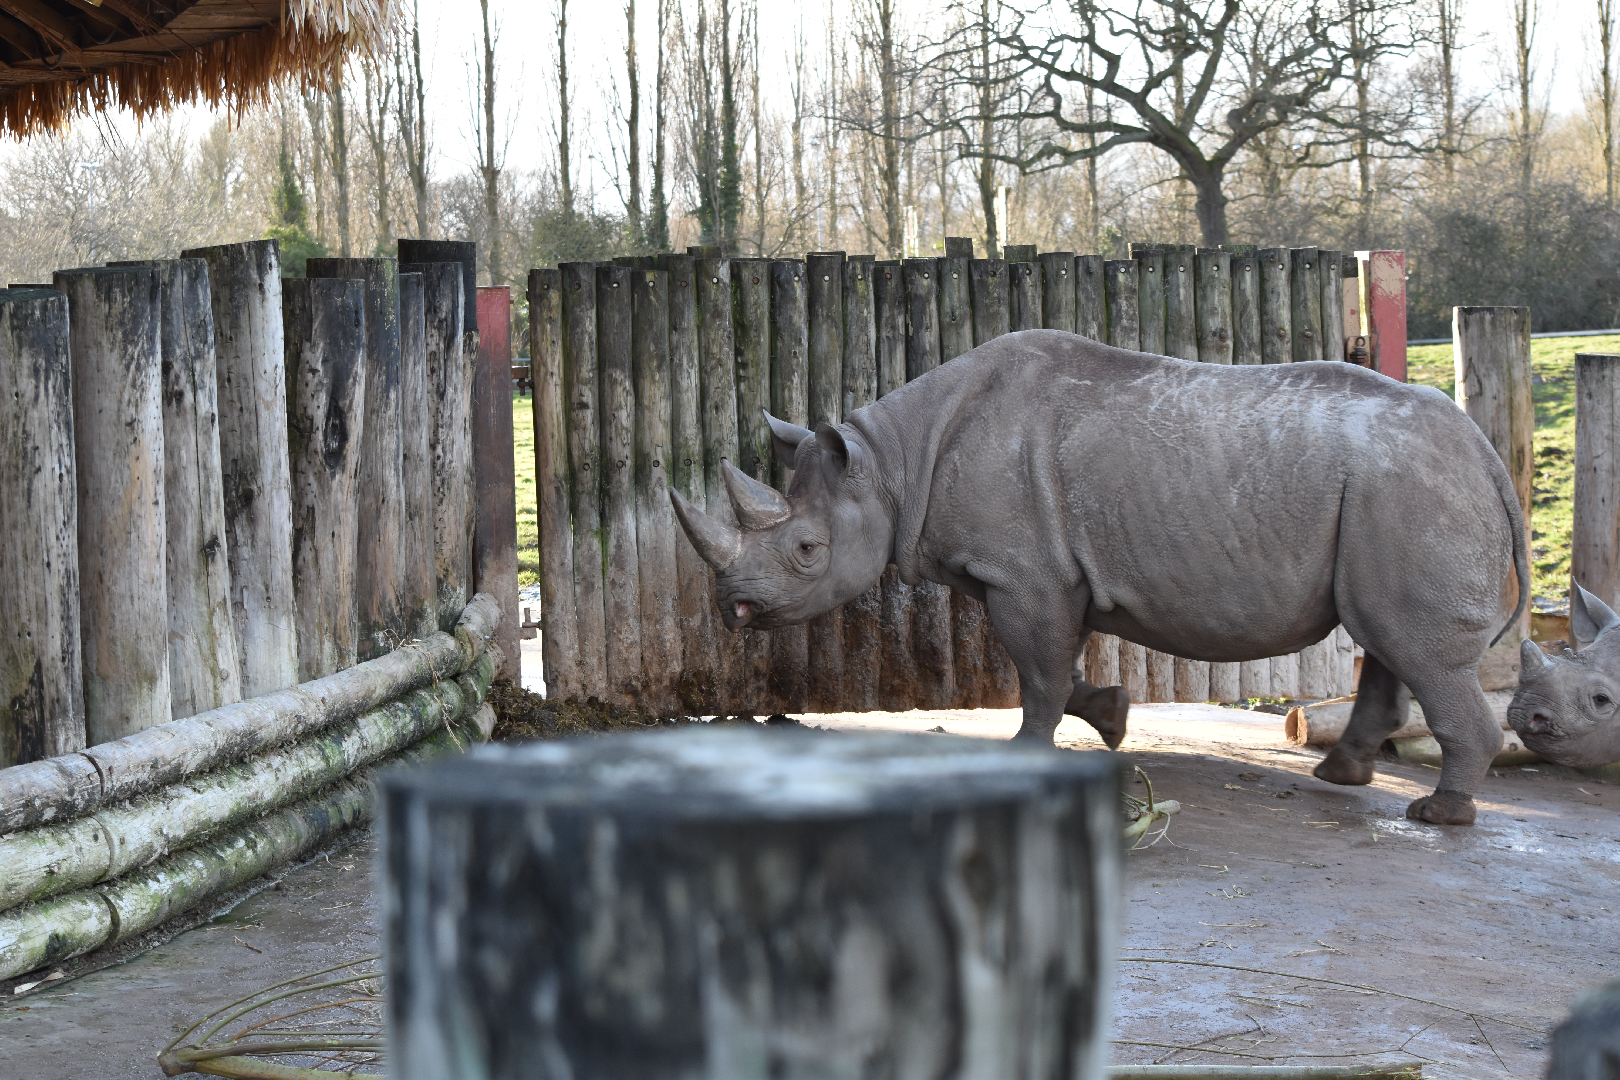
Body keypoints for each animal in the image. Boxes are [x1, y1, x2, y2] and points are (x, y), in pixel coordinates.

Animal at [671, 330, 1528, 825]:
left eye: (806, 550)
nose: (733, 609)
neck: (889, 465)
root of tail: (1484, 453)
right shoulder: (1039, 574)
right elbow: (1060, 664)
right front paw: (1112, 718)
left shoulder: (1026, 576)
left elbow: (1039, 671)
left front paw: (1027, 751)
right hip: (1393, 497)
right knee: (1383, 633)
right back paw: (1342, 772)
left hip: (1406, 490)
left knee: (1410, 645)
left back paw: (1439, 812)